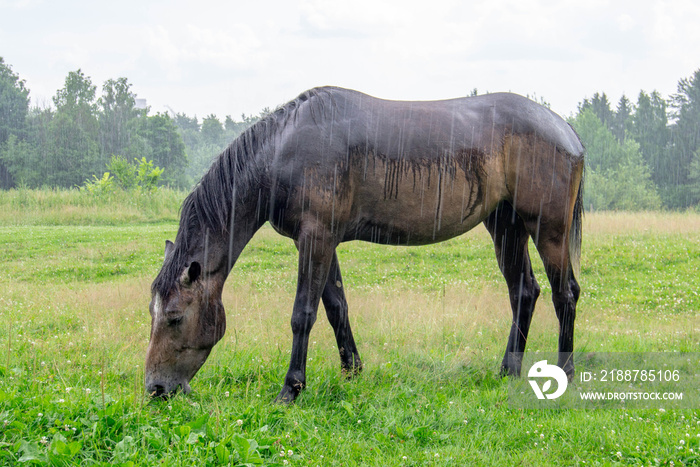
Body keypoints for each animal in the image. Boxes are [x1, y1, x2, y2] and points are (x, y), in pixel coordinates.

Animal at [144, 87, 584, 402]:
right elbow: (336, 307)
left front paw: (291, 388)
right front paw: (352, 370)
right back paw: (508, 370)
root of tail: (566, 131)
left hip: (548, 230)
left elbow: (303, 313)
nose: (155, 389)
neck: (284, 148)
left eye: (174, 317)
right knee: (524, 292)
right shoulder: (320, 241)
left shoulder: (316, 237)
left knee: (565, 293)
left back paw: (566, 372)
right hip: (507, 227)